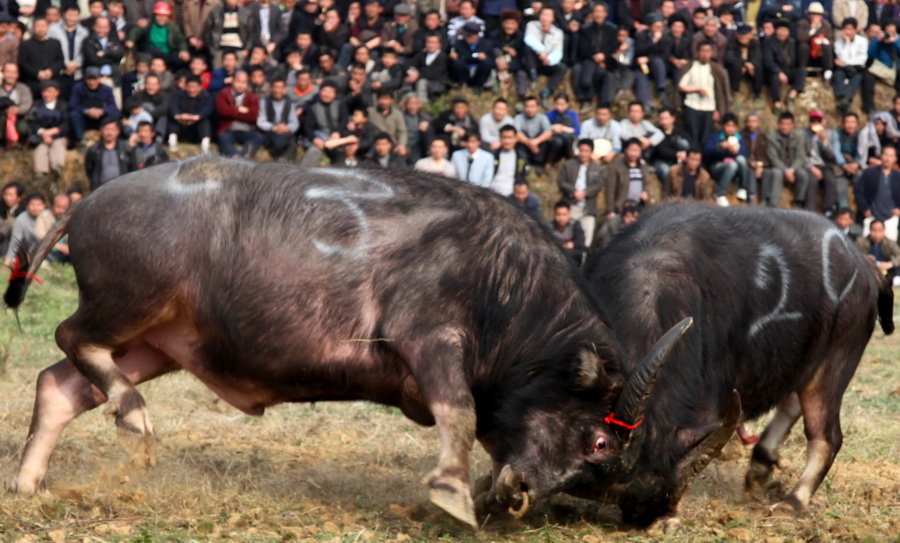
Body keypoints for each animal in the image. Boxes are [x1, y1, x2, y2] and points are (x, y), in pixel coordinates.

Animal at [5, 157, 688, 532]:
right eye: (598, 441)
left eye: (590, 471)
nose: (520, 495)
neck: (503, 282)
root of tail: (89, 202)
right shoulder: (429, 338)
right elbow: (460, 412)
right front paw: (451, 493)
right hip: (132, 300)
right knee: (71, 337)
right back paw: (133, 416)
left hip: (159, 342)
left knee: (58, 382)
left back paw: (30, 484)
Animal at [576, 203, 892, 532]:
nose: (649, 511)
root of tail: (864, 265)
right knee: (793, 402)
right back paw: (759, 468)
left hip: (837, 361)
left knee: (826, 437)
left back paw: (791, 502)